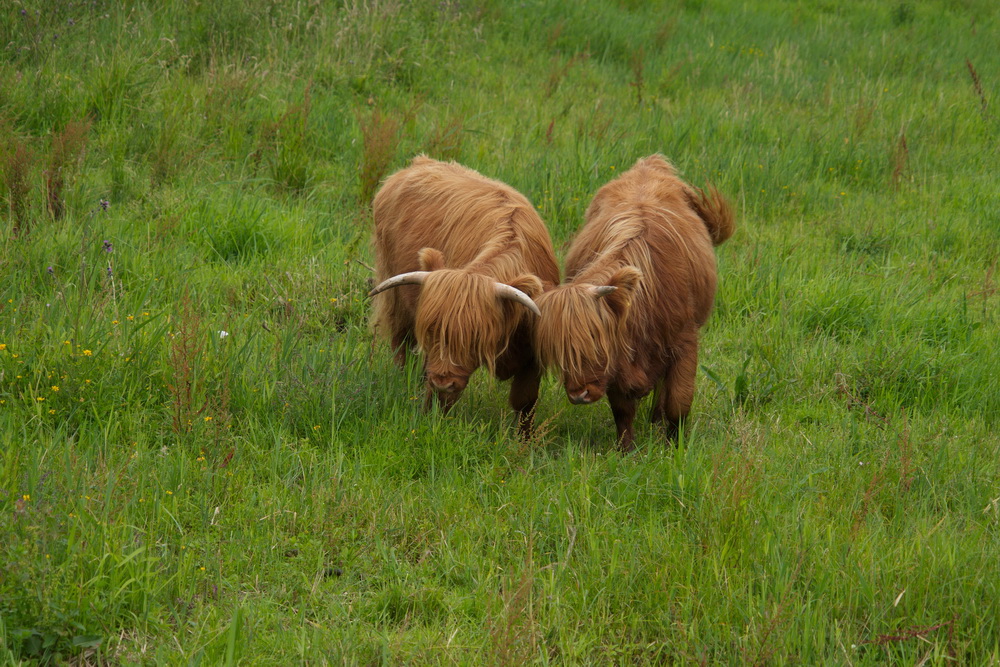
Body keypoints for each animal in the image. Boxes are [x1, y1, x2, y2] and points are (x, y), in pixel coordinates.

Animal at [370, 157, 564, 438]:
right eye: (431, 331)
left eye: (475, 337)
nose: (443, 381)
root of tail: (420, 161)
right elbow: (438, 397)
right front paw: (430, 422)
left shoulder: (531, 354)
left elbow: (525, 401)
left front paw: (523, 442)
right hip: (395, 298)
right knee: (401, 344)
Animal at [536, 154, 740, 452]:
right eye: (558, 348)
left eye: (596, 338)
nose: (579, 394)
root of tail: (648, 164)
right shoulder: (618, 365)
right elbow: (622, 410)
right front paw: (626, 451)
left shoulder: (684, 342)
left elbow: (679, 401)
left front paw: (674, 447)